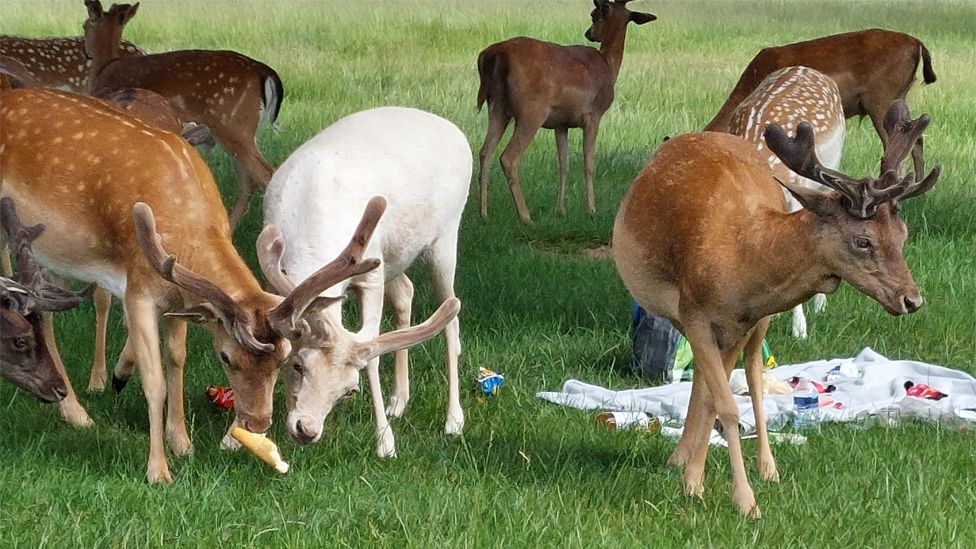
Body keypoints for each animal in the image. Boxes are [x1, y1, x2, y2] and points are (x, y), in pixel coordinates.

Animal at [83, 0, 283, 229]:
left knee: (265, 175)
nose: (86, 51)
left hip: (232, 125)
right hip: (242, 131)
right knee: (248, 182)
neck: (104, 66)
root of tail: (265, 72)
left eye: (84, 26)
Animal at [259, 107, 469, 457]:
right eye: (299, 366)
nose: (306, 430)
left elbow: (371, 353)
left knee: (451, 317)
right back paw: (399, 401)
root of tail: (458, 132)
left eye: (349, 391)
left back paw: (453, 420)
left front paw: (385, 443)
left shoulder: (371, 271)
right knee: (406, 293)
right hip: (396, 256)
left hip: (445, 237)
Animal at [476, 0, 655, 224]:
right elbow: (588, 163)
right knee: (508, 157)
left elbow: (564, 164)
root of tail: (493, 54)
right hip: (531, 109)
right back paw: (526, 217)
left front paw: (560, 210)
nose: (589, 33)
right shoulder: (593, 114)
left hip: (497, 106)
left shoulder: (561, 123)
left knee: (485, 152)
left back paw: (484, 214)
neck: (608, 66)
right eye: (594, 14)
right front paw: (591, 210)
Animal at [612, 100, 939, 518]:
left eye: (903, 235)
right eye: (863, 240)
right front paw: (740, 500)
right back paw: (684, 457)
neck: (742, 260)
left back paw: (762, 466)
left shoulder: (741, 322)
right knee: (712, 378)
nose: (911, 299)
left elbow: (717, 399)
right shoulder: (696, 311)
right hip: (685, 317)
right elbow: (723, 405)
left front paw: (696, 482)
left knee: (751, 374)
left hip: (756, 325)